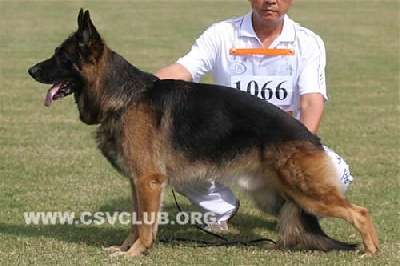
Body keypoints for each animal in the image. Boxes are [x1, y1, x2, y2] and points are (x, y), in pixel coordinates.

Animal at [27, 9, 378, 256]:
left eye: (60, 57)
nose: (30, 70)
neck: (124, 97)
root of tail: (310, 137)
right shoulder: (137, 182)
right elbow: (136, 221)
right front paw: (125, 248)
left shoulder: (148, 181)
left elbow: (145, 225)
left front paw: (136, 252)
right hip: (275, 195)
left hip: (306, 192)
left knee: (360, 212)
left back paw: (370, 250)